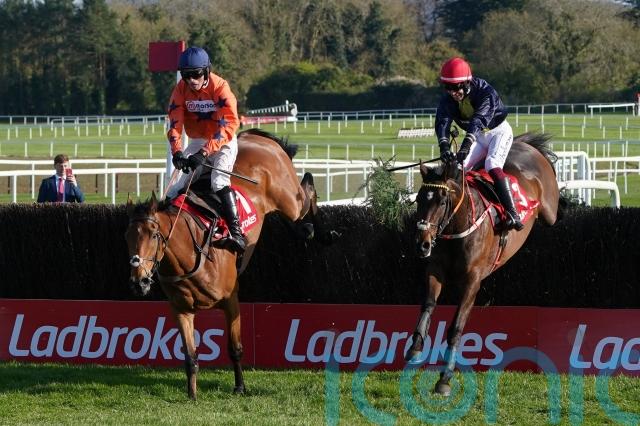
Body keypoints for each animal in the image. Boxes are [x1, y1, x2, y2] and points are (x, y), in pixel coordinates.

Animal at [125, 129, 323, 400]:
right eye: (127, 237)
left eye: (154, 235)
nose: (139, 281)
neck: (191, 255)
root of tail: (253, 137)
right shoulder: (181, 309)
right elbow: (190, 356)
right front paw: (192, 395)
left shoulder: (231, 299)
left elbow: (235, 347)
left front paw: (239, 386)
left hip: (288, 199)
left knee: (305, 195)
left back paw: (311, 219)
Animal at [405, 133, 560, 396]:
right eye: (418, 199)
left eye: (442, 200)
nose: (422, 244)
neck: (457, 226)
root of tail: (525, 144)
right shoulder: (435, 270)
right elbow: (427, 304)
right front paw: (415, 348)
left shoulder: (472, 281)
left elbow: (456, 327)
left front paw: (444, 379)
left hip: (549, 211)